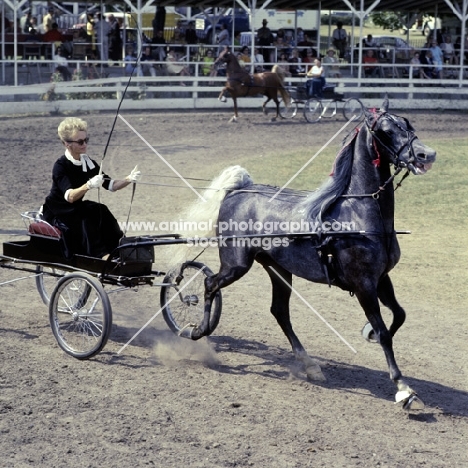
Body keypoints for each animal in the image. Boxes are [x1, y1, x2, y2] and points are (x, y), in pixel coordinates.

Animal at [178, 99, 436, 410]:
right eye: (386, 131)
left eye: (408, 124)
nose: (426, 154)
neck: (358, 214)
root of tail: (239, 190)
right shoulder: (363, 284)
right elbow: (386, 332)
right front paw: (403, 388)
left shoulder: (381, 278)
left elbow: (399, 315)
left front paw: (369, 333)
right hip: (236, 264)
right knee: (209, 284)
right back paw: (196, 331)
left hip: (278, 268)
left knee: (279, 311)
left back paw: (309, 363)